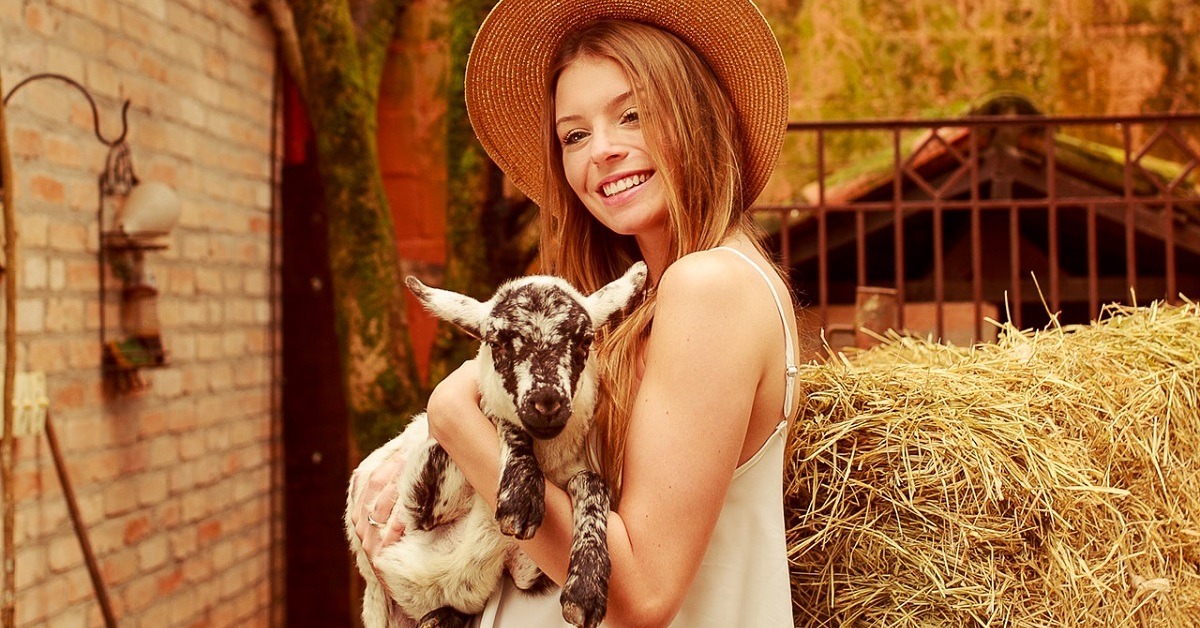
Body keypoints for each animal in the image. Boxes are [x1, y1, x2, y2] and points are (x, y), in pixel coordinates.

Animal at [348, 264, 648, 628]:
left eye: (585, 339)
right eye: (497, 342)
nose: (546, 401)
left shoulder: (524, 570)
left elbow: (590, 481)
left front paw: (586, 587)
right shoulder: (418, 503)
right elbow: (499, 416)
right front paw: (521, 498)